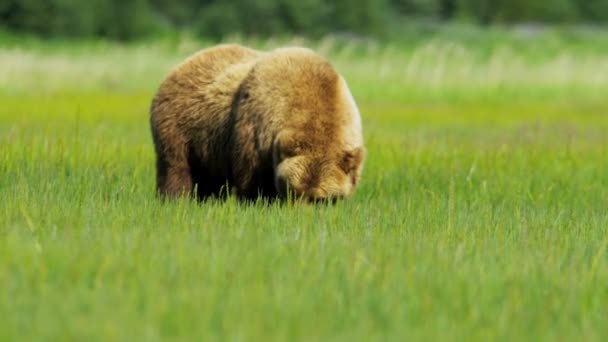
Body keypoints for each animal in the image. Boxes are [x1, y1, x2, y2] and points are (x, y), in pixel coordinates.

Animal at [150, 43, 364, 202]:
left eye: (319, 199)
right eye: (293, 191)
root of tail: (183, 63)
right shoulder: (254, 128)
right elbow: (252, 179)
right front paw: (258, 201)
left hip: (208, 148)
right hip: (179, 124)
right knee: (176, 167)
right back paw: (175, 199)